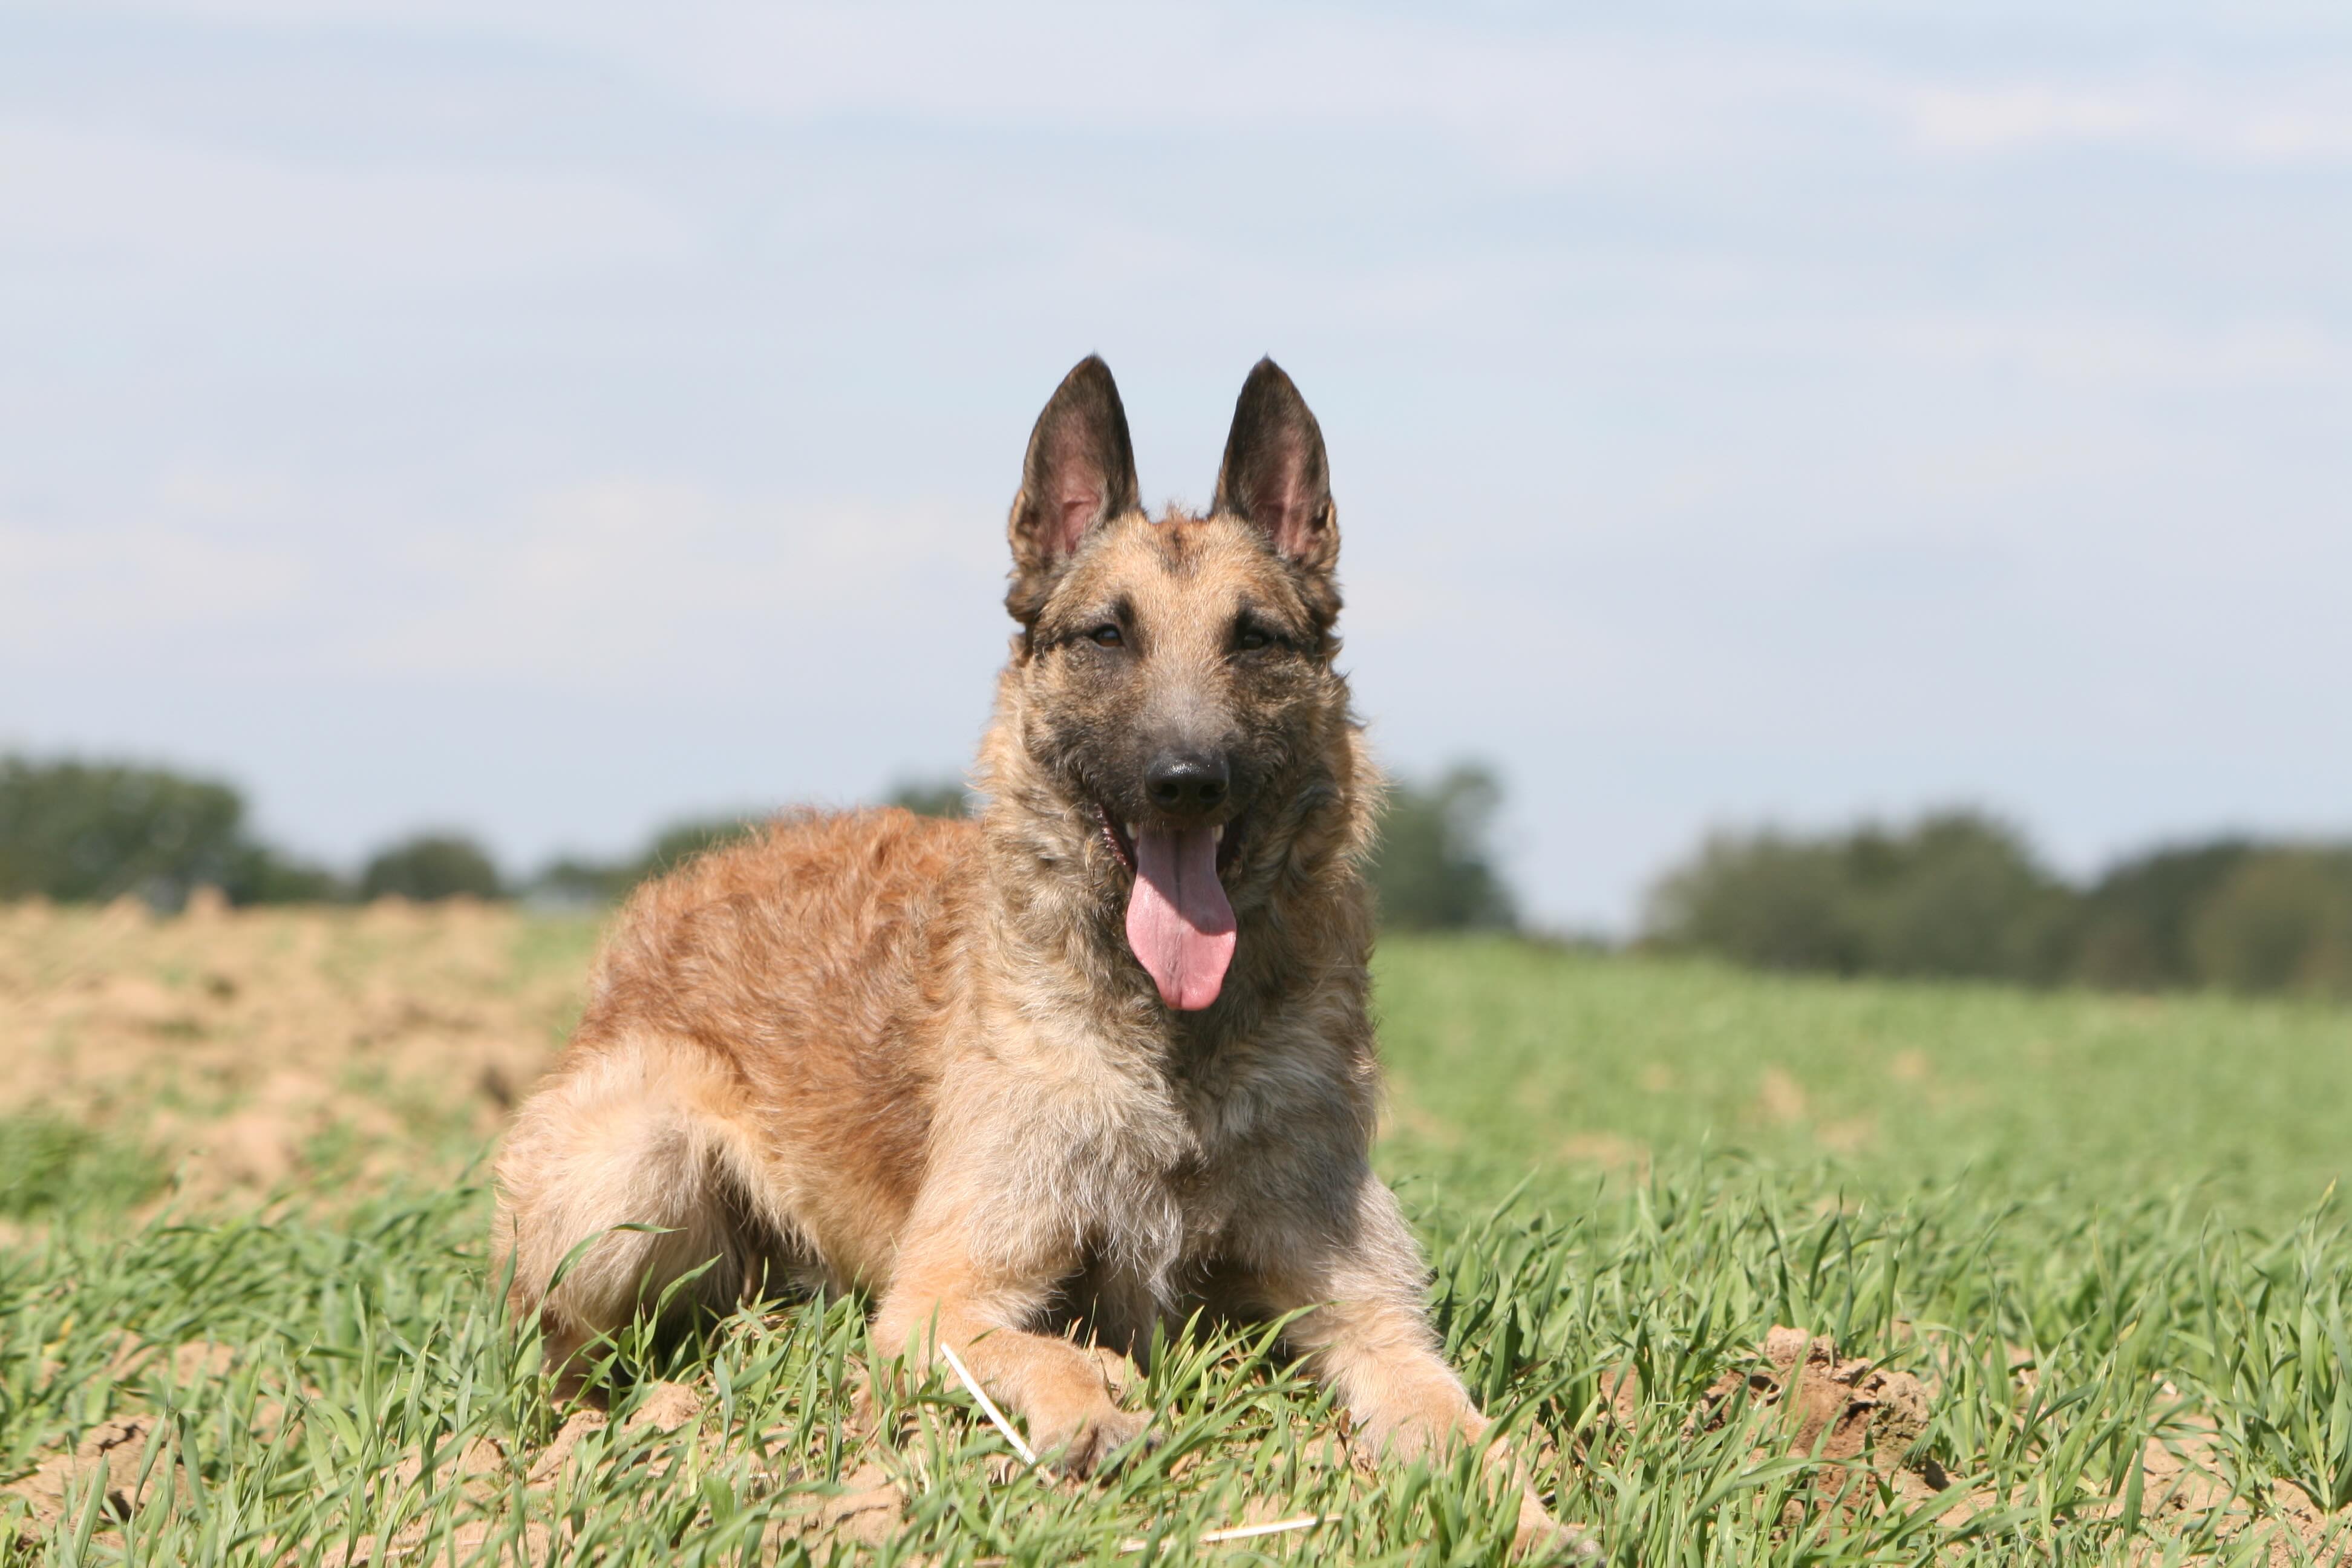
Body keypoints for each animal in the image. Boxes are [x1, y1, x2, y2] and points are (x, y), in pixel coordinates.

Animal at [494, 362, 1571, 1551]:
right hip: (627, 1180)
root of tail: (654, 916)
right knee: (571, 1360)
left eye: (1254, 639)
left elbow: (1455, 1421)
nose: (1184, 781)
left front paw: (1527, 1521)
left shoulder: (1367, 1312)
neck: (1174, 1046)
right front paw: (1092, 1404)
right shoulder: (942, 1299)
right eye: (1106, 636)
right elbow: (1035, 1348)